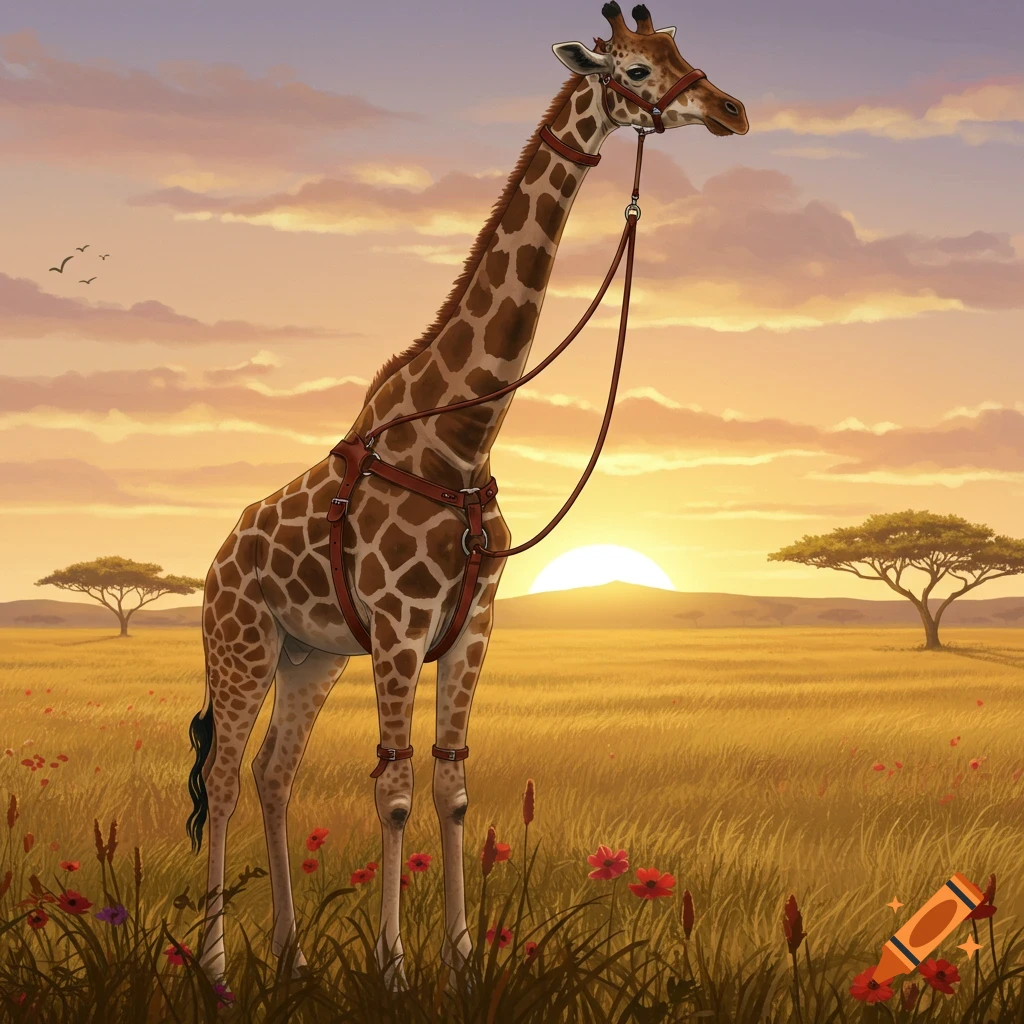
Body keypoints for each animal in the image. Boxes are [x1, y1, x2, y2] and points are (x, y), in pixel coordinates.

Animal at [185, 1, 747, 992]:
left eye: (681, 46)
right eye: (636, 70)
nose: (730, 109)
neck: (459, 435)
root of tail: (215, 560)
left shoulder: (473, 624)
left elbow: (450, 787)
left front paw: (462, 965)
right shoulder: (401, 628)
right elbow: (395, 791)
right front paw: (393, 971)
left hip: (311, 654)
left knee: (273, 775)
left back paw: (292, 957)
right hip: (242, 640)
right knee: (220, 778)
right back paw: (215, 969)